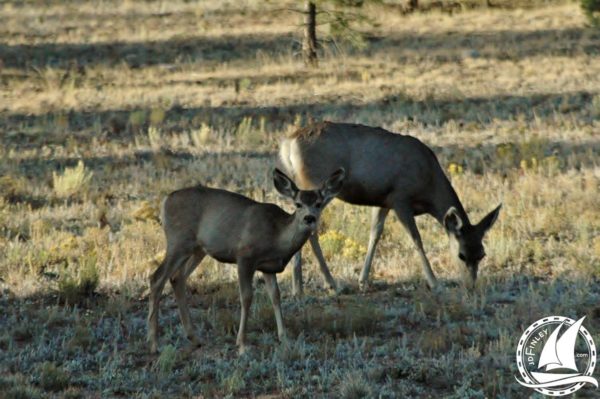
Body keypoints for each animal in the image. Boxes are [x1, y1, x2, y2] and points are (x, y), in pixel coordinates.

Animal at [147, 167, 344, 354]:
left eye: (318, 204)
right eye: (298, 204)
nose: (309, 218)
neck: (276, 236)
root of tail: (165, 201)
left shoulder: (268, 267)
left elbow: (275, 296)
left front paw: (285, 339)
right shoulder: (244, 256)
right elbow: (246, 297)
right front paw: (241, 344)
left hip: (197, 249)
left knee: (176, 278)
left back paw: (194, 338)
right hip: (178, 241)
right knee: (157, 278)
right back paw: (154, 343)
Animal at [282, 120, 502, 296]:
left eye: (482, 254)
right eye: (461, 255)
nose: (471, 286)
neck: (429, 183)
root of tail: (288, 144)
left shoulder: (383, 201)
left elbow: (375, 234)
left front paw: (363, 281)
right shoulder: (400, 198)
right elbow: (416, 239)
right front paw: (435, 283)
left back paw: (297, 288)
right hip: (316, 184)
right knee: (310, 229)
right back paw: (331, 285)